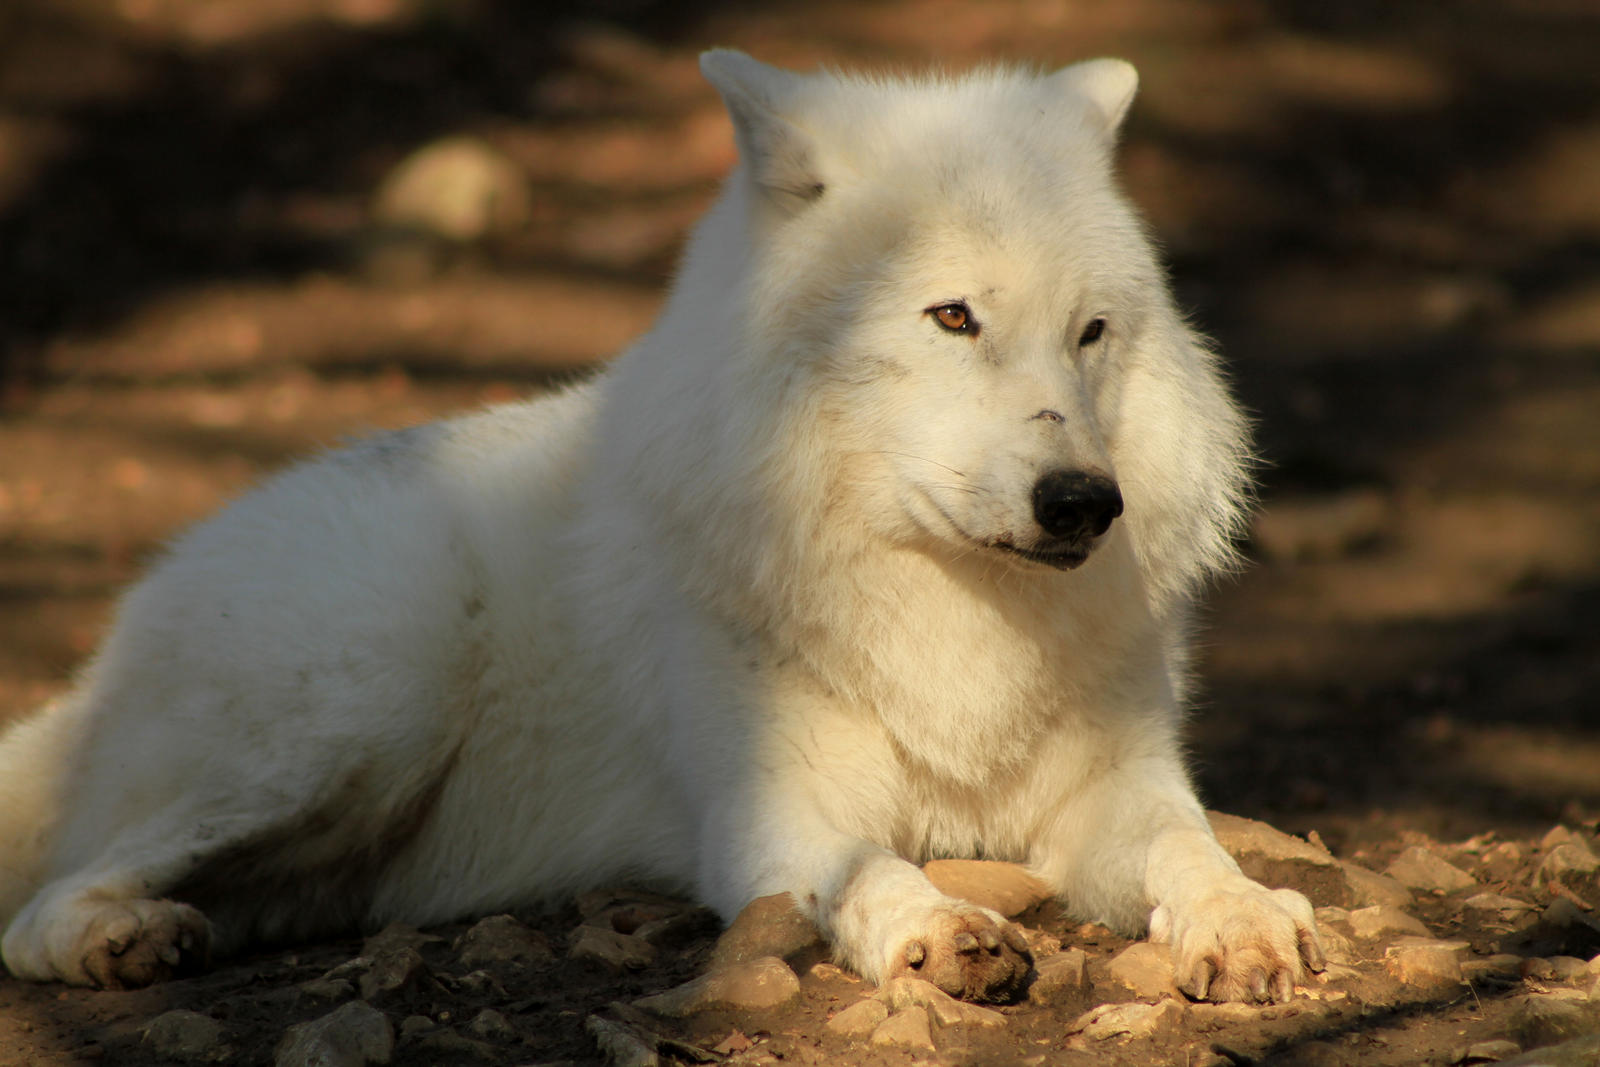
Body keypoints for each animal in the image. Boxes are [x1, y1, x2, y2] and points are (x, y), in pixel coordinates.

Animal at [0, 47, 1324, 1004]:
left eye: (1091, 332)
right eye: (952, 316)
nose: (1083, 501)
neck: (947, 607)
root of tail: (113, 644)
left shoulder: (1115, 785)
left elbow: (1187, 846)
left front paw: (1245, 919)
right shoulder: (767, 812)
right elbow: (868, 866)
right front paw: (941, 927)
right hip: (374, 698)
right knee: (40, 902)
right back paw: (119, 938)